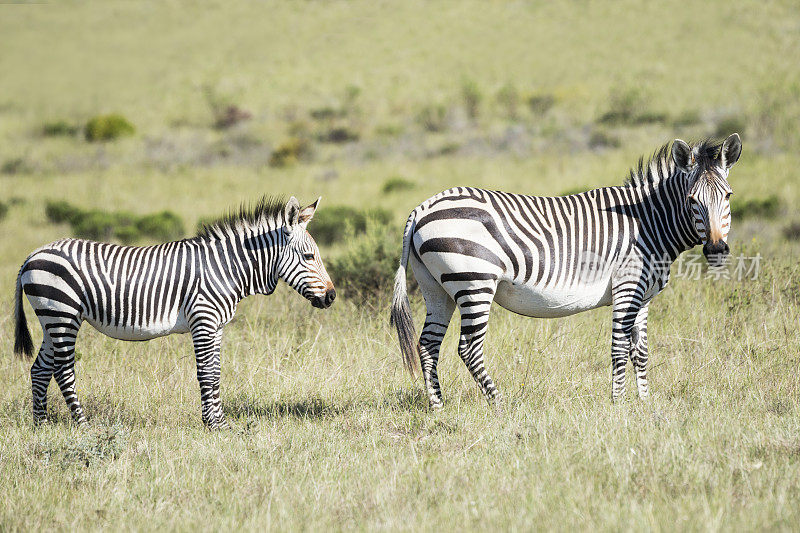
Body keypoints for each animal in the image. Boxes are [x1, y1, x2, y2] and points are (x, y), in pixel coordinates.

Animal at [14, 195, 336, 428]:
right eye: (309, 256)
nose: (332, 296)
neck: (227, 268)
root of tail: (32, 255)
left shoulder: (216, 326)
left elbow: (216, 372)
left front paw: (221, 423)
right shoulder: (203, 321)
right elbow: (206, 373)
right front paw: (212, 425)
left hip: (51, 318)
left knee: (40, 368)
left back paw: (41, 425)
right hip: (63, 314)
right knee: (63, 370)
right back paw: (83, 425)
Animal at [390, 134, 740, 408]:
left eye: (727, 196)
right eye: (692, 199)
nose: (716, 250)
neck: (648, 222)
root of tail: (421, 208)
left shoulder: (645, 295)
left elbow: (640, 350)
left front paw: (644, 401)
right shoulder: (627, 286)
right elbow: (619, 347)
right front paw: (618, 404)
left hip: (436, 288)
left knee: (428, 344)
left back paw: (438, 406)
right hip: (474, 283)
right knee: (469, 348)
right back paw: (500, 403)